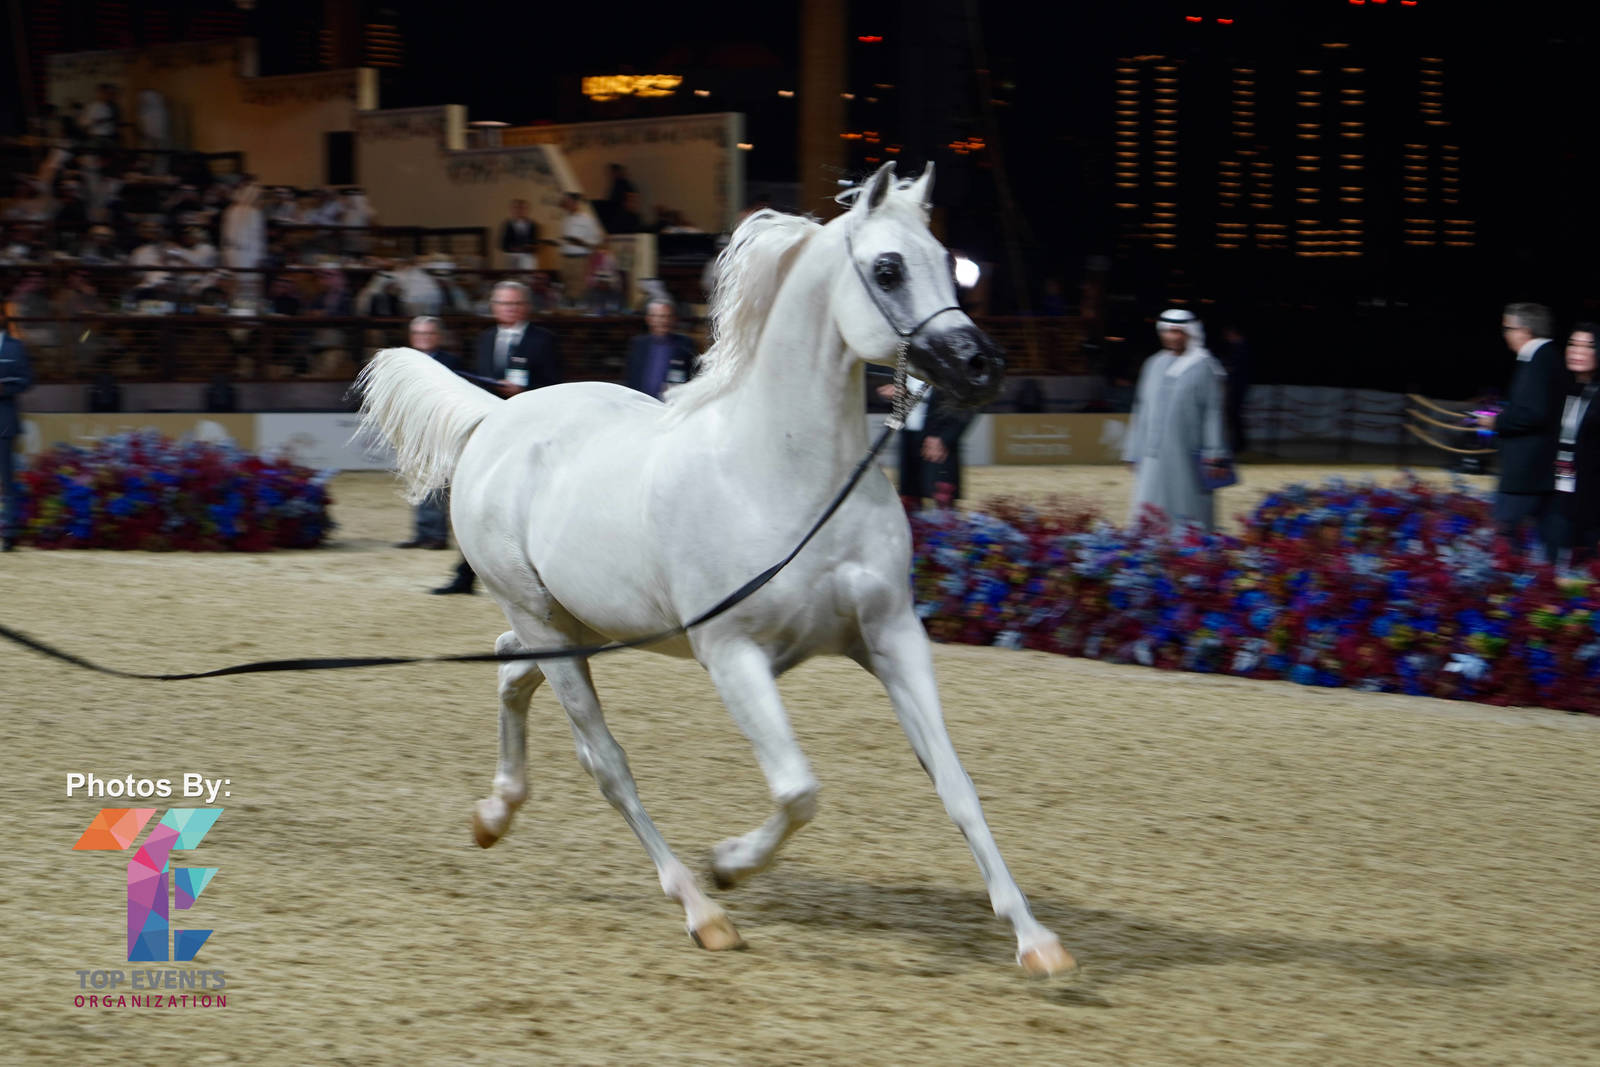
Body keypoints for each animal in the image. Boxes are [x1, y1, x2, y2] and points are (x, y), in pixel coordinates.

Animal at [355, 162, 1076, 978]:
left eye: (949, 260)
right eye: (889, 268)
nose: (982, 365)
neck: (785, 477)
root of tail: (496, 416)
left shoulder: (892, 637)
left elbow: (956, 786)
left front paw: (1036, 939)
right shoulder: (734, 656)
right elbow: (798, 789)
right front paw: (729, 864)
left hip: (574, 626)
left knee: (510, 671)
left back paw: (494, 814)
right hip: (547, 623)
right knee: (606, 762)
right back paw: (701, 909)